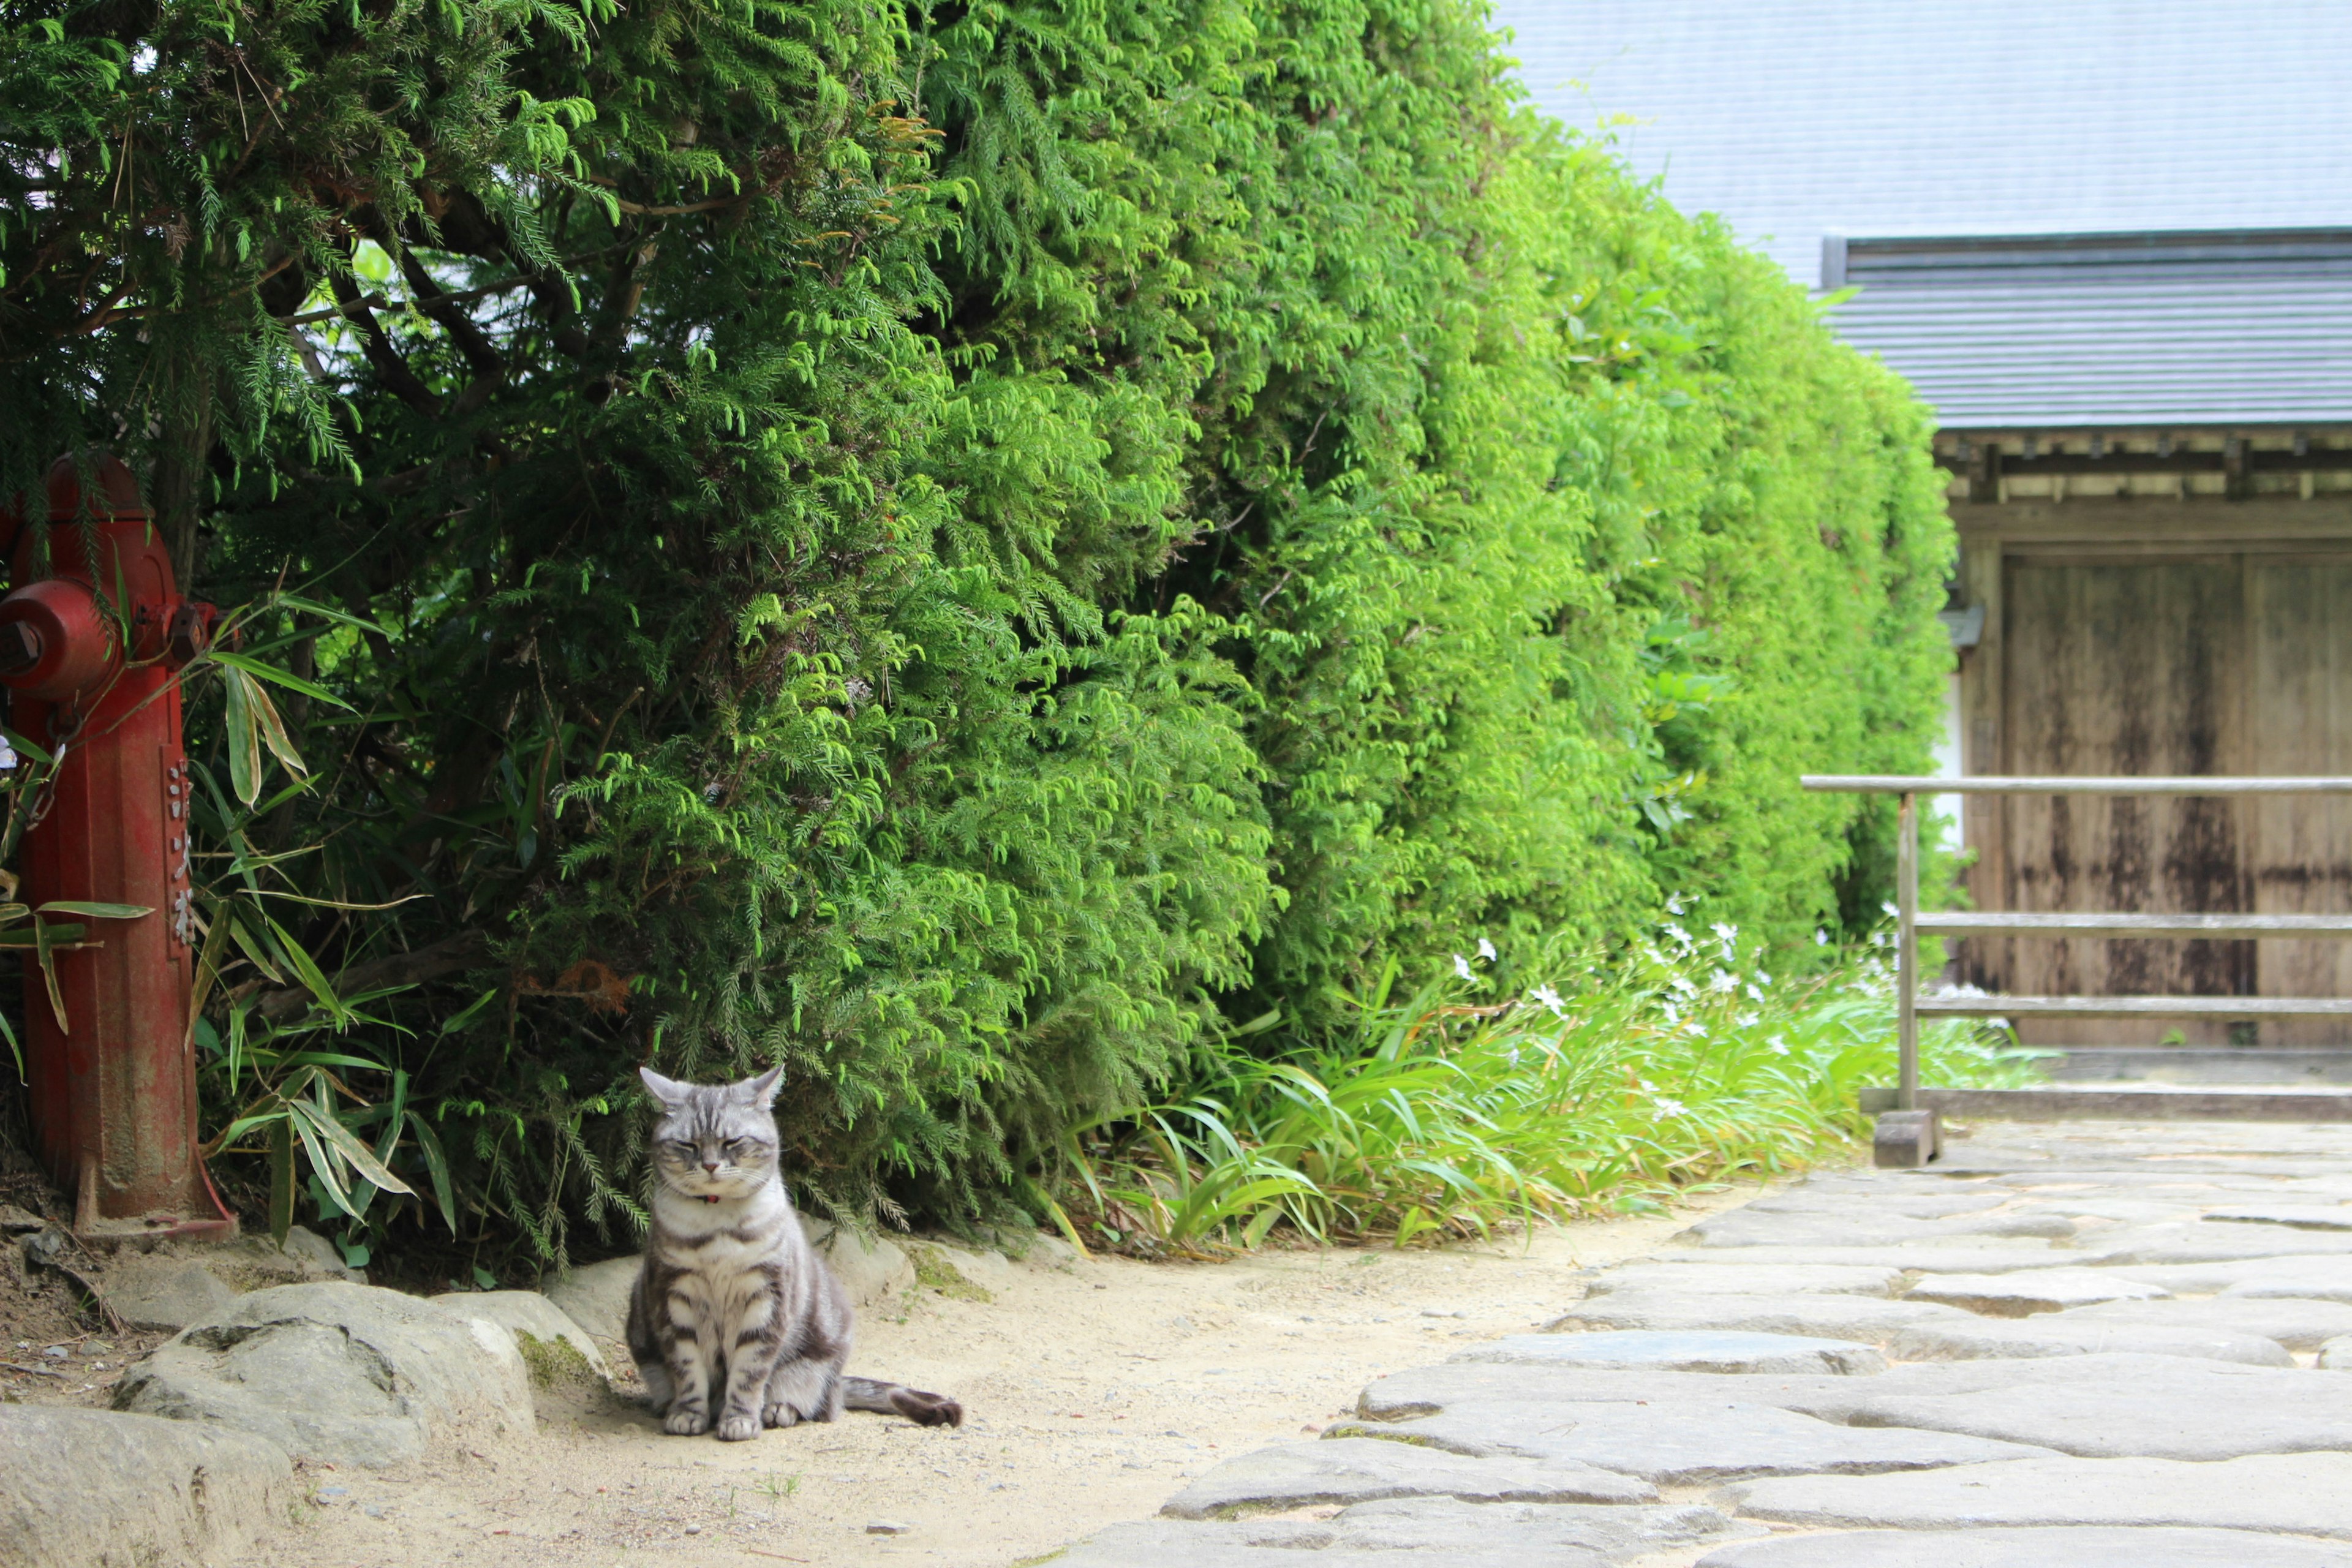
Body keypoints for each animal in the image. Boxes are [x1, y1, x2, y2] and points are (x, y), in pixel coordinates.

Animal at [625, 1062, 964, 1438]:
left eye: (732, 1142)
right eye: (687, 1144)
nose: (710, 1165)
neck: (717, 1224)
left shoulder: (765, 1298)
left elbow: (748, 1374)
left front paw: (740, 1420)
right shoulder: (674, 1296)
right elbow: (688, 1369)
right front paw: (687, 1414)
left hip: (818, 1357)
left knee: (811, 1400)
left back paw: (777, 1411)